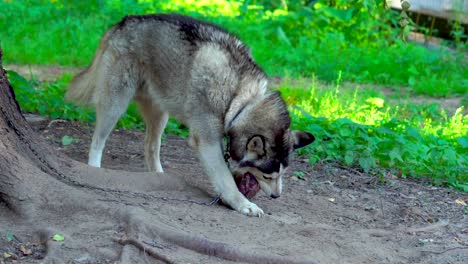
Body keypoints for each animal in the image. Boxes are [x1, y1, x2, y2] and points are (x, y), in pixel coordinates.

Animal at [66, 13, 314, 217]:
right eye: (267, 175)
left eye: (282, 174)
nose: (276, 196)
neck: (239, 97)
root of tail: (124, 22)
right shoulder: (207, 142)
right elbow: (225, 180)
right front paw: (243, 205)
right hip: (115, 105)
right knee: (98, 141)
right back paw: (94, 169)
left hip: (160, 114)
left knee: (150, 147)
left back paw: (158, 177)